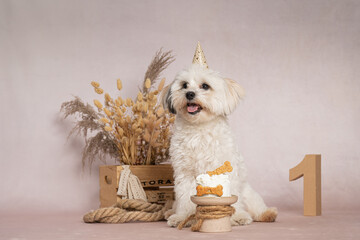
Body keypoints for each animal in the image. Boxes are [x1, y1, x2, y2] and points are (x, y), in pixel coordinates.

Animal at [162, 63, 278, 227]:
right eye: (184, 85)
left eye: (205, 86)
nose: (189, 94)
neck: (199, 128)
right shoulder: (184, 174)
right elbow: (185, 198)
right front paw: (182, 217)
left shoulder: (225, 170)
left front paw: (236, 216)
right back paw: (170, 212)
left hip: (248, 194)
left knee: (256, 207)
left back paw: (266, 214)